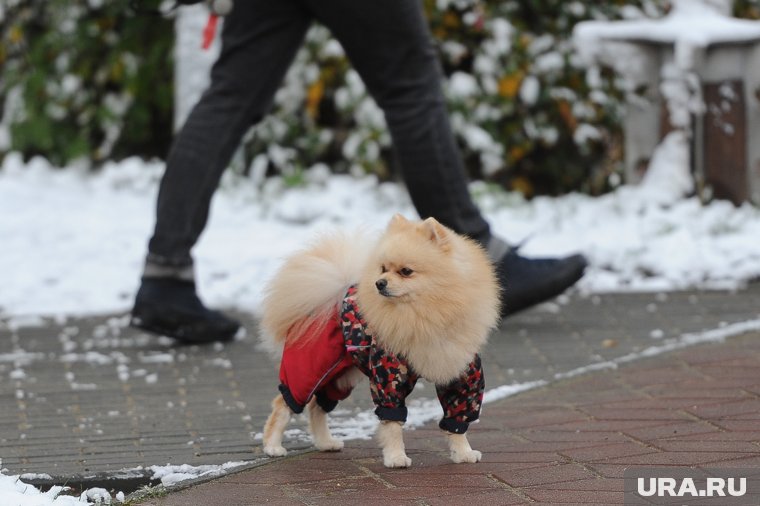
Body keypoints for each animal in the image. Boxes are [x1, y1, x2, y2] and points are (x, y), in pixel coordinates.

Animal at [258, 213, 502, 466]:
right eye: (383, 269)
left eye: (406, 271)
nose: (379, 283)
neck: (424, 313)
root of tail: (328, 297)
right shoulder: (388, 374)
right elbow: (392, 423)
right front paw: (396, 457)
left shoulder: (461, 373)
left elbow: (457, 422)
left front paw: (463, 453)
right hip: (309, 369)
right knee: (284, 404)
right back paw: (273, 446)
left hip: (341, 377)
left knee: (317, 406)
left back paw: (326, 443)